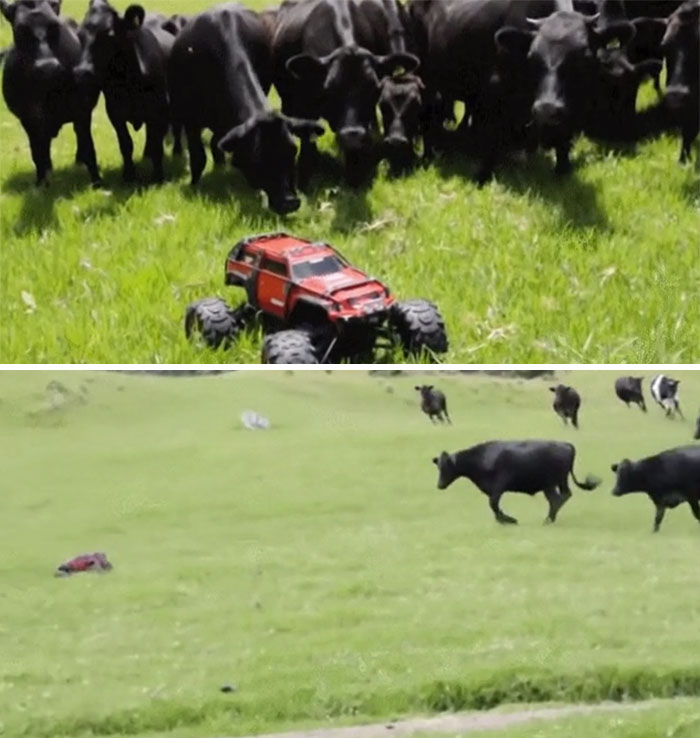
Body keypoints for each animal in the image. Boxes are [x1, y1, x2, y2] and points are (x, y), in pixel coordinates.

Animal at [1, 0, 101, 185]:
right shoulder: (29, 118)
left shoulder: (81, 110)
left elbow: (89, 145)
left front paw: (96, 181)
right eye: (20, 29)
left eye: (55, 25)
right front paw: (42, 182)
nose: (47, 67)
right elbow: (37, 152)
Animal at [73, 0, 173, 183]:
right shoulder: (115, 111)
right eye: (80, 34)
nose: (82, 72)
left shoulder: (160, 109)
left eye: (109, 34)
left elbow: (157, 143)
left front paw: (158, 176)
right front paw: (129, 175)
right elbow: (126, 143)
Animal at [167, 3, 324, 214]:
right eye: (258, 156)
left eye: (292, 150)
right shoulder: (190, 119)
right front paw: (194, 185)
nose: (290, 201)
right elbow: (198, 157)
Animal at [432, 440, 601, 524]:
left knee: (558, 498)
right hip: (554, 483)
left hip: (552, 482)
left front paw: (508, 519)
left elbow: (493, 503)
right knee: (560, 497)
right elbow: (494, 505)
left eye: (446, 466)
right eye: (438, 466)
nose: (439, 485)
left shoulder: (499, 485)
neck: (482, 457)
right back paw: (550, 518)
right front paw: (501, 519)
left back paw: (548, 519)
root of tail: (566, 445)